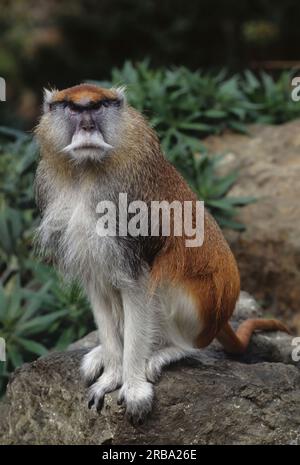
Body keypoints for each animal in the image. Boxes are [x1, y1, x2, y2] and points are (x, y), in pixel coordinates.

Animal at [34, 83, 288, 424]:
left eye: (97, 107)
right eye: (75, 109)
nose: (87, 126)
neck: (87, 172)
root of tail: (220, 318)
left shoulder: (133, 224)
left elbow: (140, 287)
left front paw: (133, 386)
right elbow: (98, 287)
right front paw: (111, 372)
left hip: (201, 303)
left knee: (171, 283)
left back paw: (172, 350)